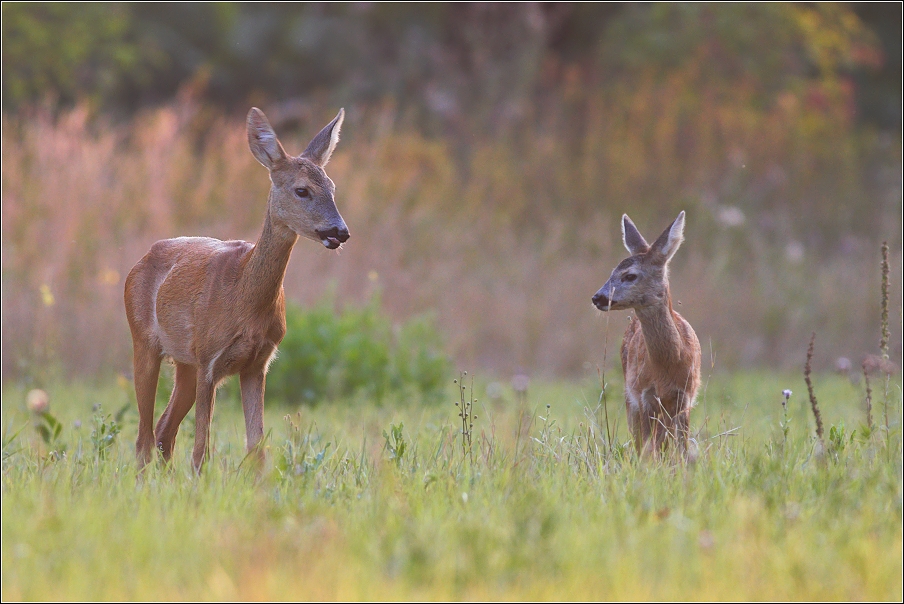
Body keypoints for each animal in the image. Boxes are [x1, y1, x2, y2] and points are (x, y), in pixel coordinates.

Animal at [121, 107, 346, 472]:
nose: (340, 231)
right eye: (302, 190)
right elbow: (201, 450)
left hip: (184, 363)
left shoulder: (257, 363)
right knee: (143, 438)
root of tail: (141, 259)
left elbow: (257, 449)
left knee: (163, 430)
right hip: (144, 341)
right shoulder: (210, 358)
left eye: (332, 187)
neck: (244, 296)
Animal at [588, 212, 704, 458]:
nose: (598, 297)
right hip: (629, 394)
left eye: (630, 275)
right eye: (611, 272)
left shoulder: (684, 397)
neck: (668, 365)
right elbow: (647, 446)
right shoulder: (643, 395)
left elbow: (680, 447)